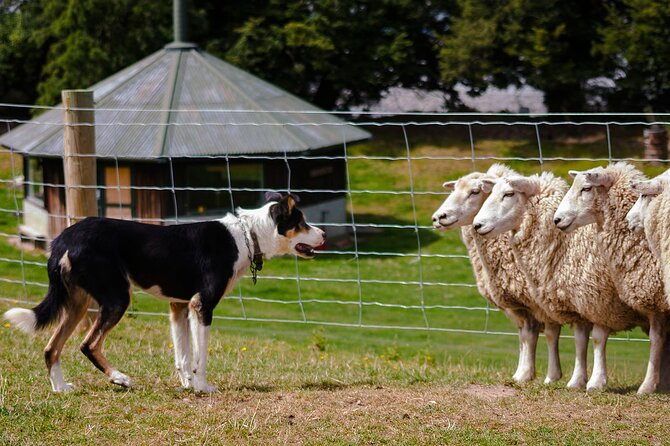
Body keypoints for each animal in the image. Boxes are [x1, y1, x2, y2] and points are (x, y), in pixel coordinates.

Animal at [3, 192, 326, 390]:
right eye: (301, 222)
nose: (323, 234)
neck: (247, 235)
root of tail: (65, 238)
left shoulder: (179, 306)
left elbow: (182, 355)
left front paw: (188, 386)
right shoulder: (202, 306)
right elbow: (199, 357)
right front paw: (203, 387)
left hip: (78, 303)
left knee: (51, 347)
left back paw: (60, 388)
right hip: (117, 298)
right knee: (88, 344)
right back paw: (119, 378)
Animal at [434, 164, 564, 384]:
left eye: (475, 191)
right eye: (454, 189)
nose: (438, 217)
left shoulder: (540, 300)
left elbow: (547, 334)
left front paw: (547, 376)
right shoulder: (519, 304)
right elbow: (525, 335)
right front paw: (523, 373)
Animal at [476, 172, 648, 388]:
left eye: (509, 194)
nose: (477, 225)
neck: (568, 244)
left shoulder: (600, 300)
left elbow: (595, 338)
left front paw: (591, 381)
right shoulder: (573, 304)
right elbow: (576, 339)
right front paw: (574, 379)